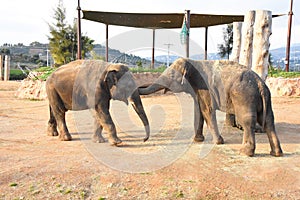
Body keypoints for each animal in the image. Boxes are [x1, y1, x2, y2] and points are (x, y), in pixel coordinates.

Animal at [139, 57, 282, 157]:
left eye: (172, 75)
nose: (144, 140)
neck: (193, 61)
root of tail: (260, 84)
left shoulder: (205, 87)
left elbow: (206, 110)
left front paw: (218, 142)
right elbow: (198, 110)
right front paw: (197, 140)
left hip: (244, 98)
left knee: (248, 122)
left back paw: (245, 153)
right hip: (266, 99)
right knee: (269, 121)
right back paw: (276, 153)